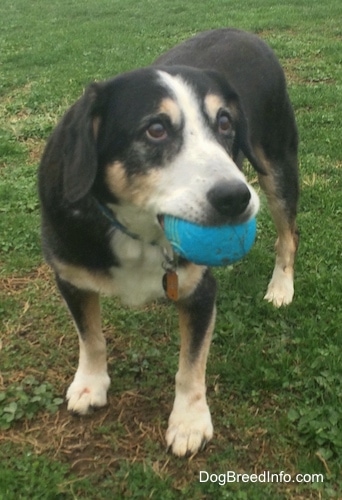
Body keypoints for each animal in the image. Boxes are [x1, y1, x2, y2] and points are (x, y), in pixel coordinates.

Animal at [38, 27, 300, 458]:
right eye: (155, 129)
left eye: (224, 122)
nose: (235, 197)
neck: (137, 230)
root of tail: (242, 32)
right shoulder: (70, 277)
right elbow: (90, 337)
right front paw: (90, 384)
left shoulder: (200, 292)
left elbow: (191, 365)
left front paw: (189, 422)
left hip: (276, 162)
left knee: (288, 234)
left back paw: (281, 286)